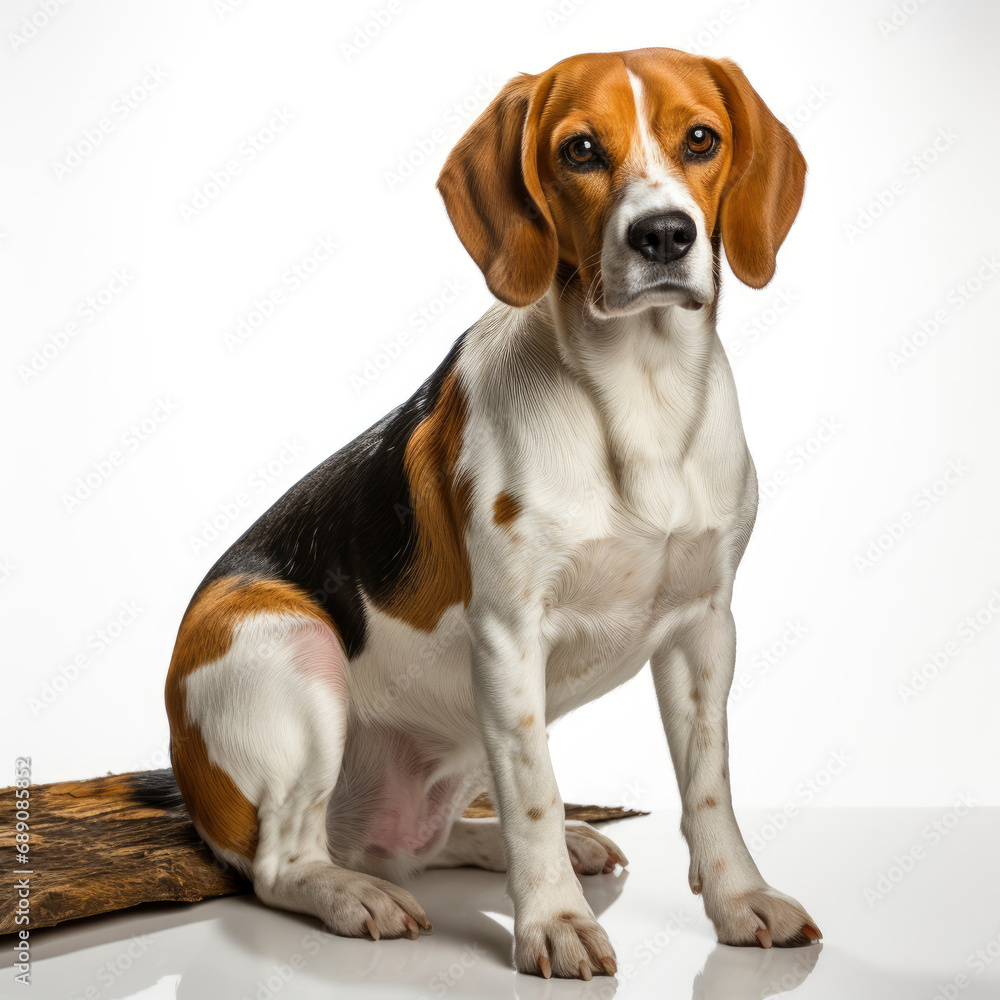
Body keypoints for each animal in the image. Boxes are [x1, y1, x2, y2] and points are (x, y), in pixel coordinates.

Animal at [166, 45, 820, 976]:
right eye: (579, 150)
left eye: (701, 138)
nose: (663, 234)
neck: (642, 396)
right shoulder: (510, 637)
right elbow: (536, 793)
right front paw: (554, 922)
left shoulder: (705, 627)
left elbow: (709, 787)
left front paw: (740, 901)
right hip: (287, 645)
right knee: (283, 861)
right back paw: (353, 894)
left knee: (418, 840)